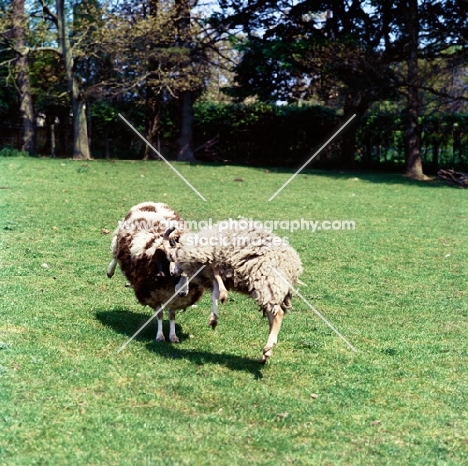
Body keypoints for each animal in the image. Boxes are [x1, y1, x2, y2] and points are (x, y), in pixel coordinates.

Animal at [109, 202, 206, 344]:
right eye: (173, 271)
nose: (183, 293)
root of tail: (150, 203)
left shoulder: (175, 300)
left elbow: (172, 315)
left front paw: (173, 336)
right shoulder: (152, 296)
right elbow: (159, 314)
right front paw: (160, 336)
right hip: (119, 239)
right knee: (115, 255)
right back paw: (109, 271)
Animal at [165, 219, 304, 364]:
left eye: (171, 257)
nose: (172, 273)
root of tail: (294, 267)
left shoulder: (211, 256)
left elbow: (215, 274)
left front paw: (223, 296)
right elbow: (215, 290)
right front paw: (214, 317)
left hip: (268, 283)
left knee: (278, 314)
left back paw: (269, 345)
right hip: (271, 289)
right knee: (272, 316)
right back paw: (266, 353)